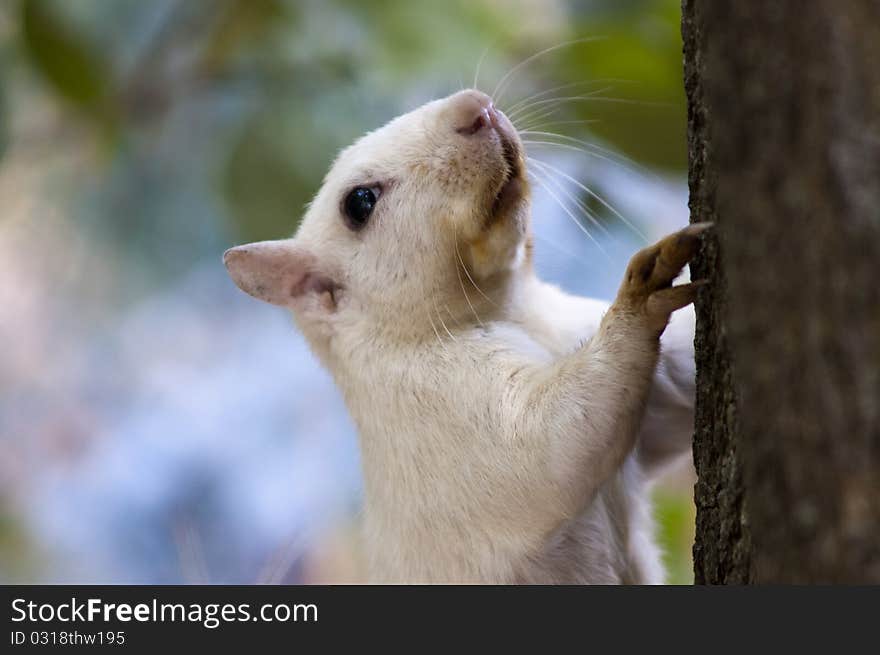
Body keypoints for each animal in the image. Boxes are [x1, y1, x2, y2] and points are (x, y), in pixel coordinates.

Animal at [225, 88, 708, 584]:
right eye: (359, 203)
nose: (478, 106)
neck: (517, 313)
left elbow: (670, 393)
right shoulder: (447, 416)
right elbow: (553, 439)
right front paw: (643, 294)